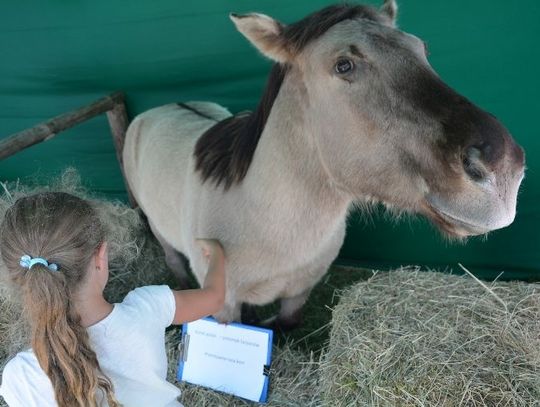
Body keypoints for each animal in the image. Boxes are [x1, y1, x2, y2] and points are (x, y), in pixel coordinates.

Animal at [122, 0, 524, 326]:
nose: (503, 170)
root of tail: (160, 109)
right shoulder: (222, 305)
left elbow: (285, 324)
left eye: (421, 50)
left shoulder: (300, 291)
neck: (260, 219)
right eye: (344, 65)